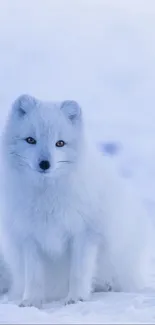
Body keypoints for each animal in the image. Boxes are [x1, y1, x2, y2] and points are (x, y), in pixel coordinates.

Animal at [0, 93, 154, 306]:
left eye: (60, 143)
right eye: (30, 140)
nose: (45, 163)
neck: (47, 196)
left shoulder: (85, 233)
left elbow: (78, 272)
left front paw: (76, 298)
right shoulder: (29, 237)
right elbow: (34, 276)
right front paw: (31, 301)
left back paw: (106, 287)